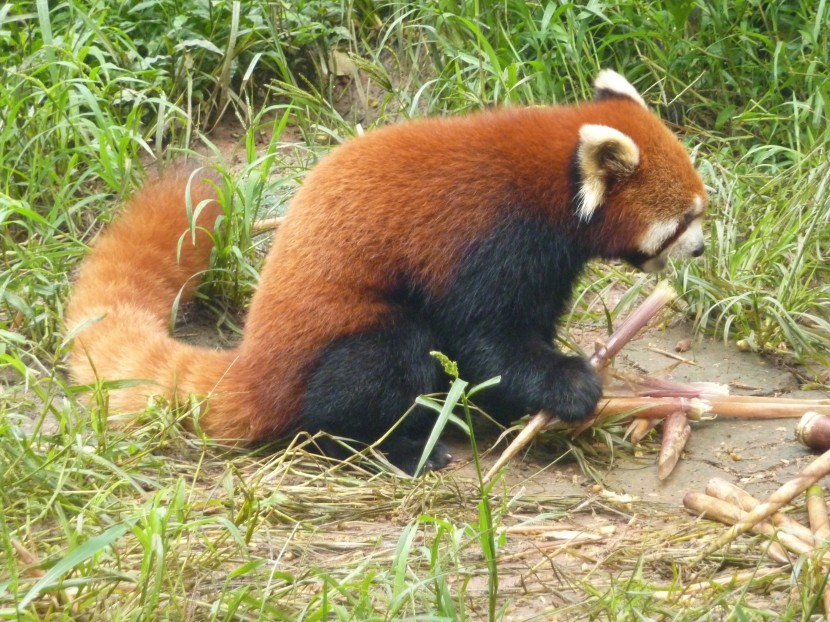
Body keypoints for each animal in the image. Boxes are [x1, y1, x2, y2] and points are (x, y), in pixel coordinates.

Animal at [63, 70, 708, 472]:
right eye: (685, 221)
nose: (701, 251)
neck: (552, 180)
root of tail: (253, 363)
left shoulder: (547, 267)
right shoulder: (490, 242)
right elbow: (486, 340)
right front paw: (568, 386)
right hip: (350, 338)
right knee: (388, 362)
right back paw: (395, 448)